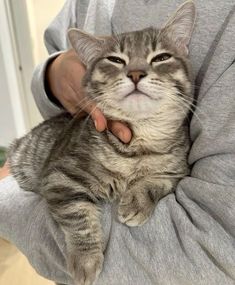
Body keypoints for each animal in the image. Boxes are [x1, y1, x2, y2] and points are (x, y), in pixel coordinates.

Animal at [7, 1, 196, 282]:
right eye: (115, 60)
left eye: (161, 58)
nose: (136, 73)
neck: (138, 146)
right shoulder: (59, 176)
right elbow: (78, 216)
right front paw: (85, 260)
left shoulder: (177, 169)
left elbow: (156, 180)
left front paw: (136, 201)